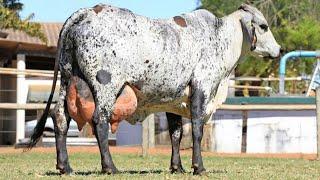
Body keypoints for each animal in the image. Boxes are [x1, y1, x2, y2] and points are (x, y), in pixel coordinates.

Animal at [29, 3, 280, 176]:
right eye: (264, 26)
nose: (278, 50)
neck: (220, 38)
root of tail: (87, 12)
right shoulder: (201, 87)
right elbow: (196, 130)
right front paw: (198, 167)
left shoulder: (173, 101)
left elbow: (176, 134)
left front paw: (177, 167)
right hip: (106, 85)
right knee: (99, 120)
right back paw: (110, 167)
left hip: (67, 80)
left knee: (60, 119)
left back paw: (65, 167)